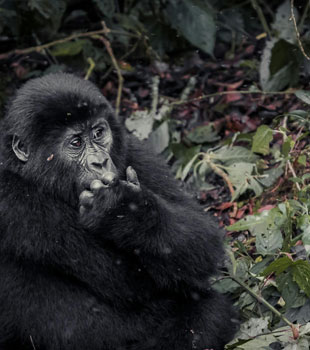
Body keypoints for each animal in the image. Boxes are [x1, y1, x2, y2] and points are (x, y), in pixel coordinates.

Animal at [0, 72, 237, 348]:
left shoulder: (133, 150)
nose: (101, 162)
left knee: (209, 312)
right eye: (76, 142)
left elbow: (202, 240)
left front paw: (127, 211)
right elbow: (125, 280)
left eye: (99, 133)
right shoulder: (12, 198)